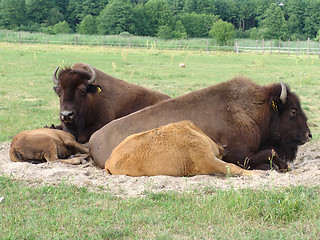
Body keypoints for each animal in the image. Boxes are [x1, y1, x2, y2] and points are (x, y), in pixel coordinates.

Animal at [89, 77, 312, 171]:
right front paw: (278, 167)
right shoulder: (240, 154)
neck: (254, 111)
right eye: (293, 111)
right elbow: (270, 153)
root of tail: (93, 139)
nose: (309, 135)